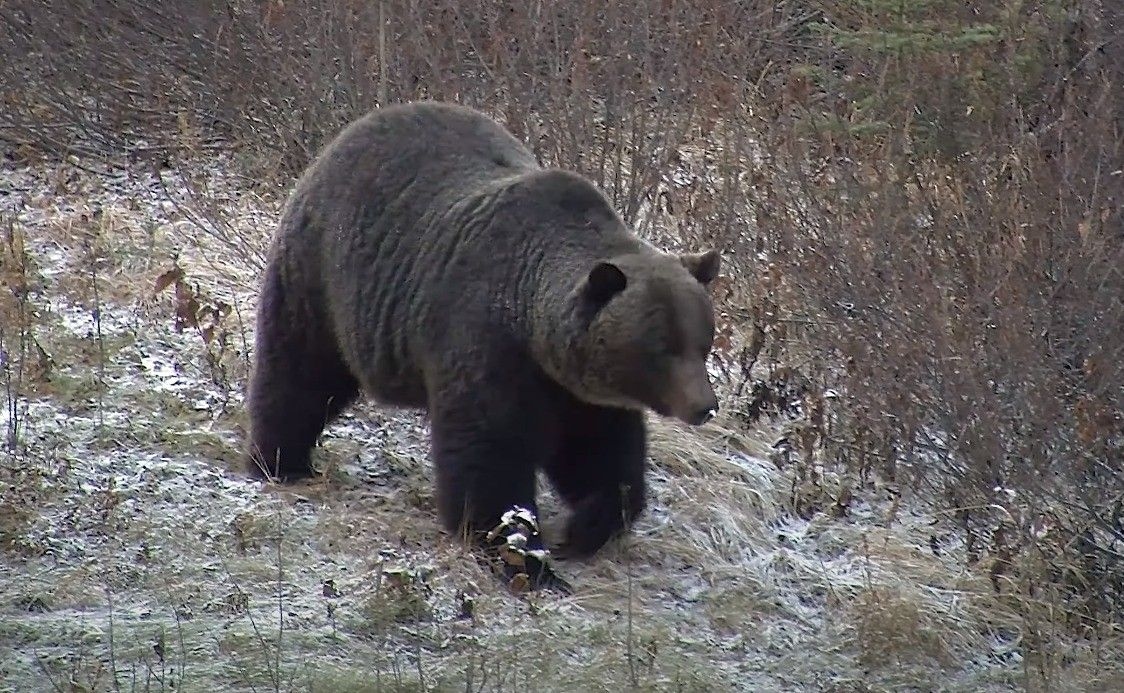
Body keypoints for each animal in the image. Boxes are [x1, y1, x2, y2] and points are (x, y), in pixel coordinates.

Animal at [245, 100, 721, 590]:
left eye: (703, 341)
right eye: (663, 347)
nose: (705, 405)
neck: (533, 328)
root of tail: (348, 134)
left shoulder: (579, 393)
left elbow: (601, 457)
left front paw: (585, 528)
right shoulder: (487, 344)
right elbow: (490, 458)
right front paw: (523, 557)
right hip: (323, 276)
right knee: (299, 371)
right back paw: (280, 461)